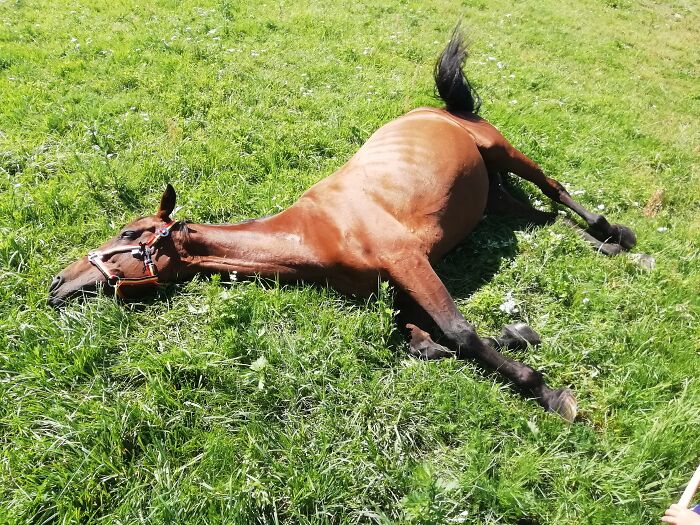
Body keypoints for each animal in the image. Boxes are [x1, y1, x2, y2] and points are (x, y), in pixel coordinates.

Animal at [48, 27, 637, 421]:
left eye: (128, 235)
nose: (56, 283)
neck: (318, 232)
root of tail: (443, 109)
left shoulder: (409, 260)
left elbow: (460, 333)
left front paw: (547, 392)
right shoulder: (393, 289)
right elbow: (426, 342)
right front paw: (518, 335)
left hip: (504, 150)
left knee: (556, 189)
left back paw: (615, 234)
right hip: (496, 199)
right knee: (546, 215)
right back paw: (596, 243)